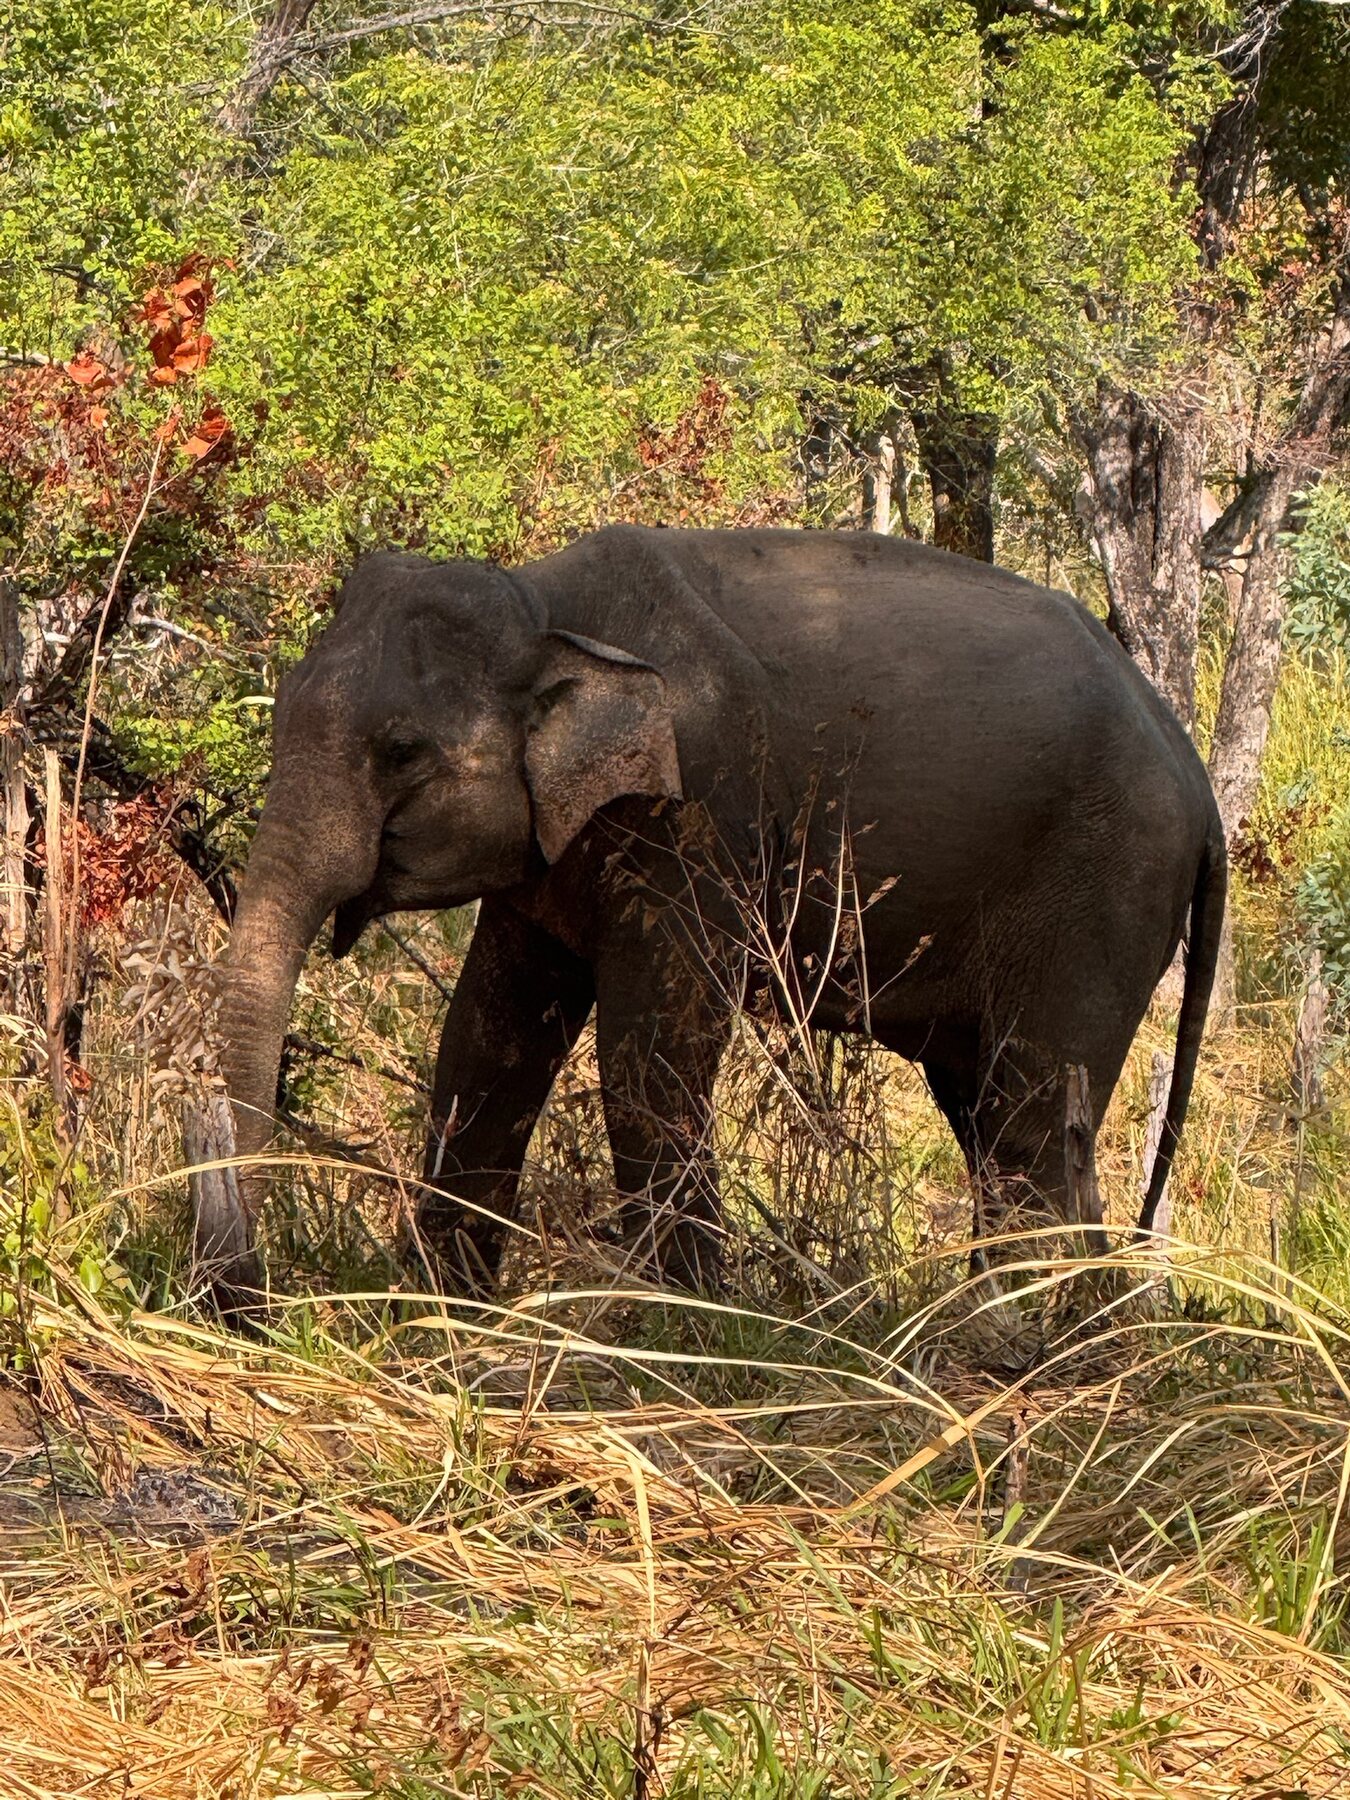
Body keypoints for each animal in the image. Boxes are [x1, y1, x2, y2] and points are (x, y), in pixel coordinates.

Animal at [204, 524, 1226, 1306]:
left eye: (402, 751)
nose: (244, 1301)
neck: (546, 604)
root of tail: (1195, 774)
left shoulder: (698, 817)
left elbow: (647, 1055)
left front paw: (687, 1327)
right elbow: (488, 1038)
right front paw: (438, 1309)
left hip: (1102, 898)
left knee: (1031, 1121)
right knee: (991, 1115)